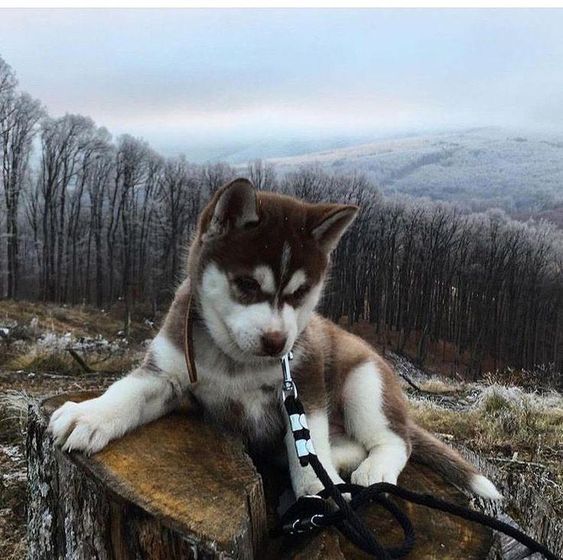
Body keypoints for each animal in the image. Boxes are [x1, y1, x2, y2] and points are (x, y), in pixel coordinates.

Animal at [49, 178, 502, 498]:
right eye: (247, 285)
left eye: (300, 293)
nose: (277, 343)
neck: (236, 362)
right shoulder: (167, 372)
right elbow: (127, 392)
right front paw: (88, 414)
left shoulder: (304, 387)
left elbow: (308, 446)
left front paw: (319, 490)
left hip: (364, 382)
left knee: (394, 440)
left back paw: (372, 468)